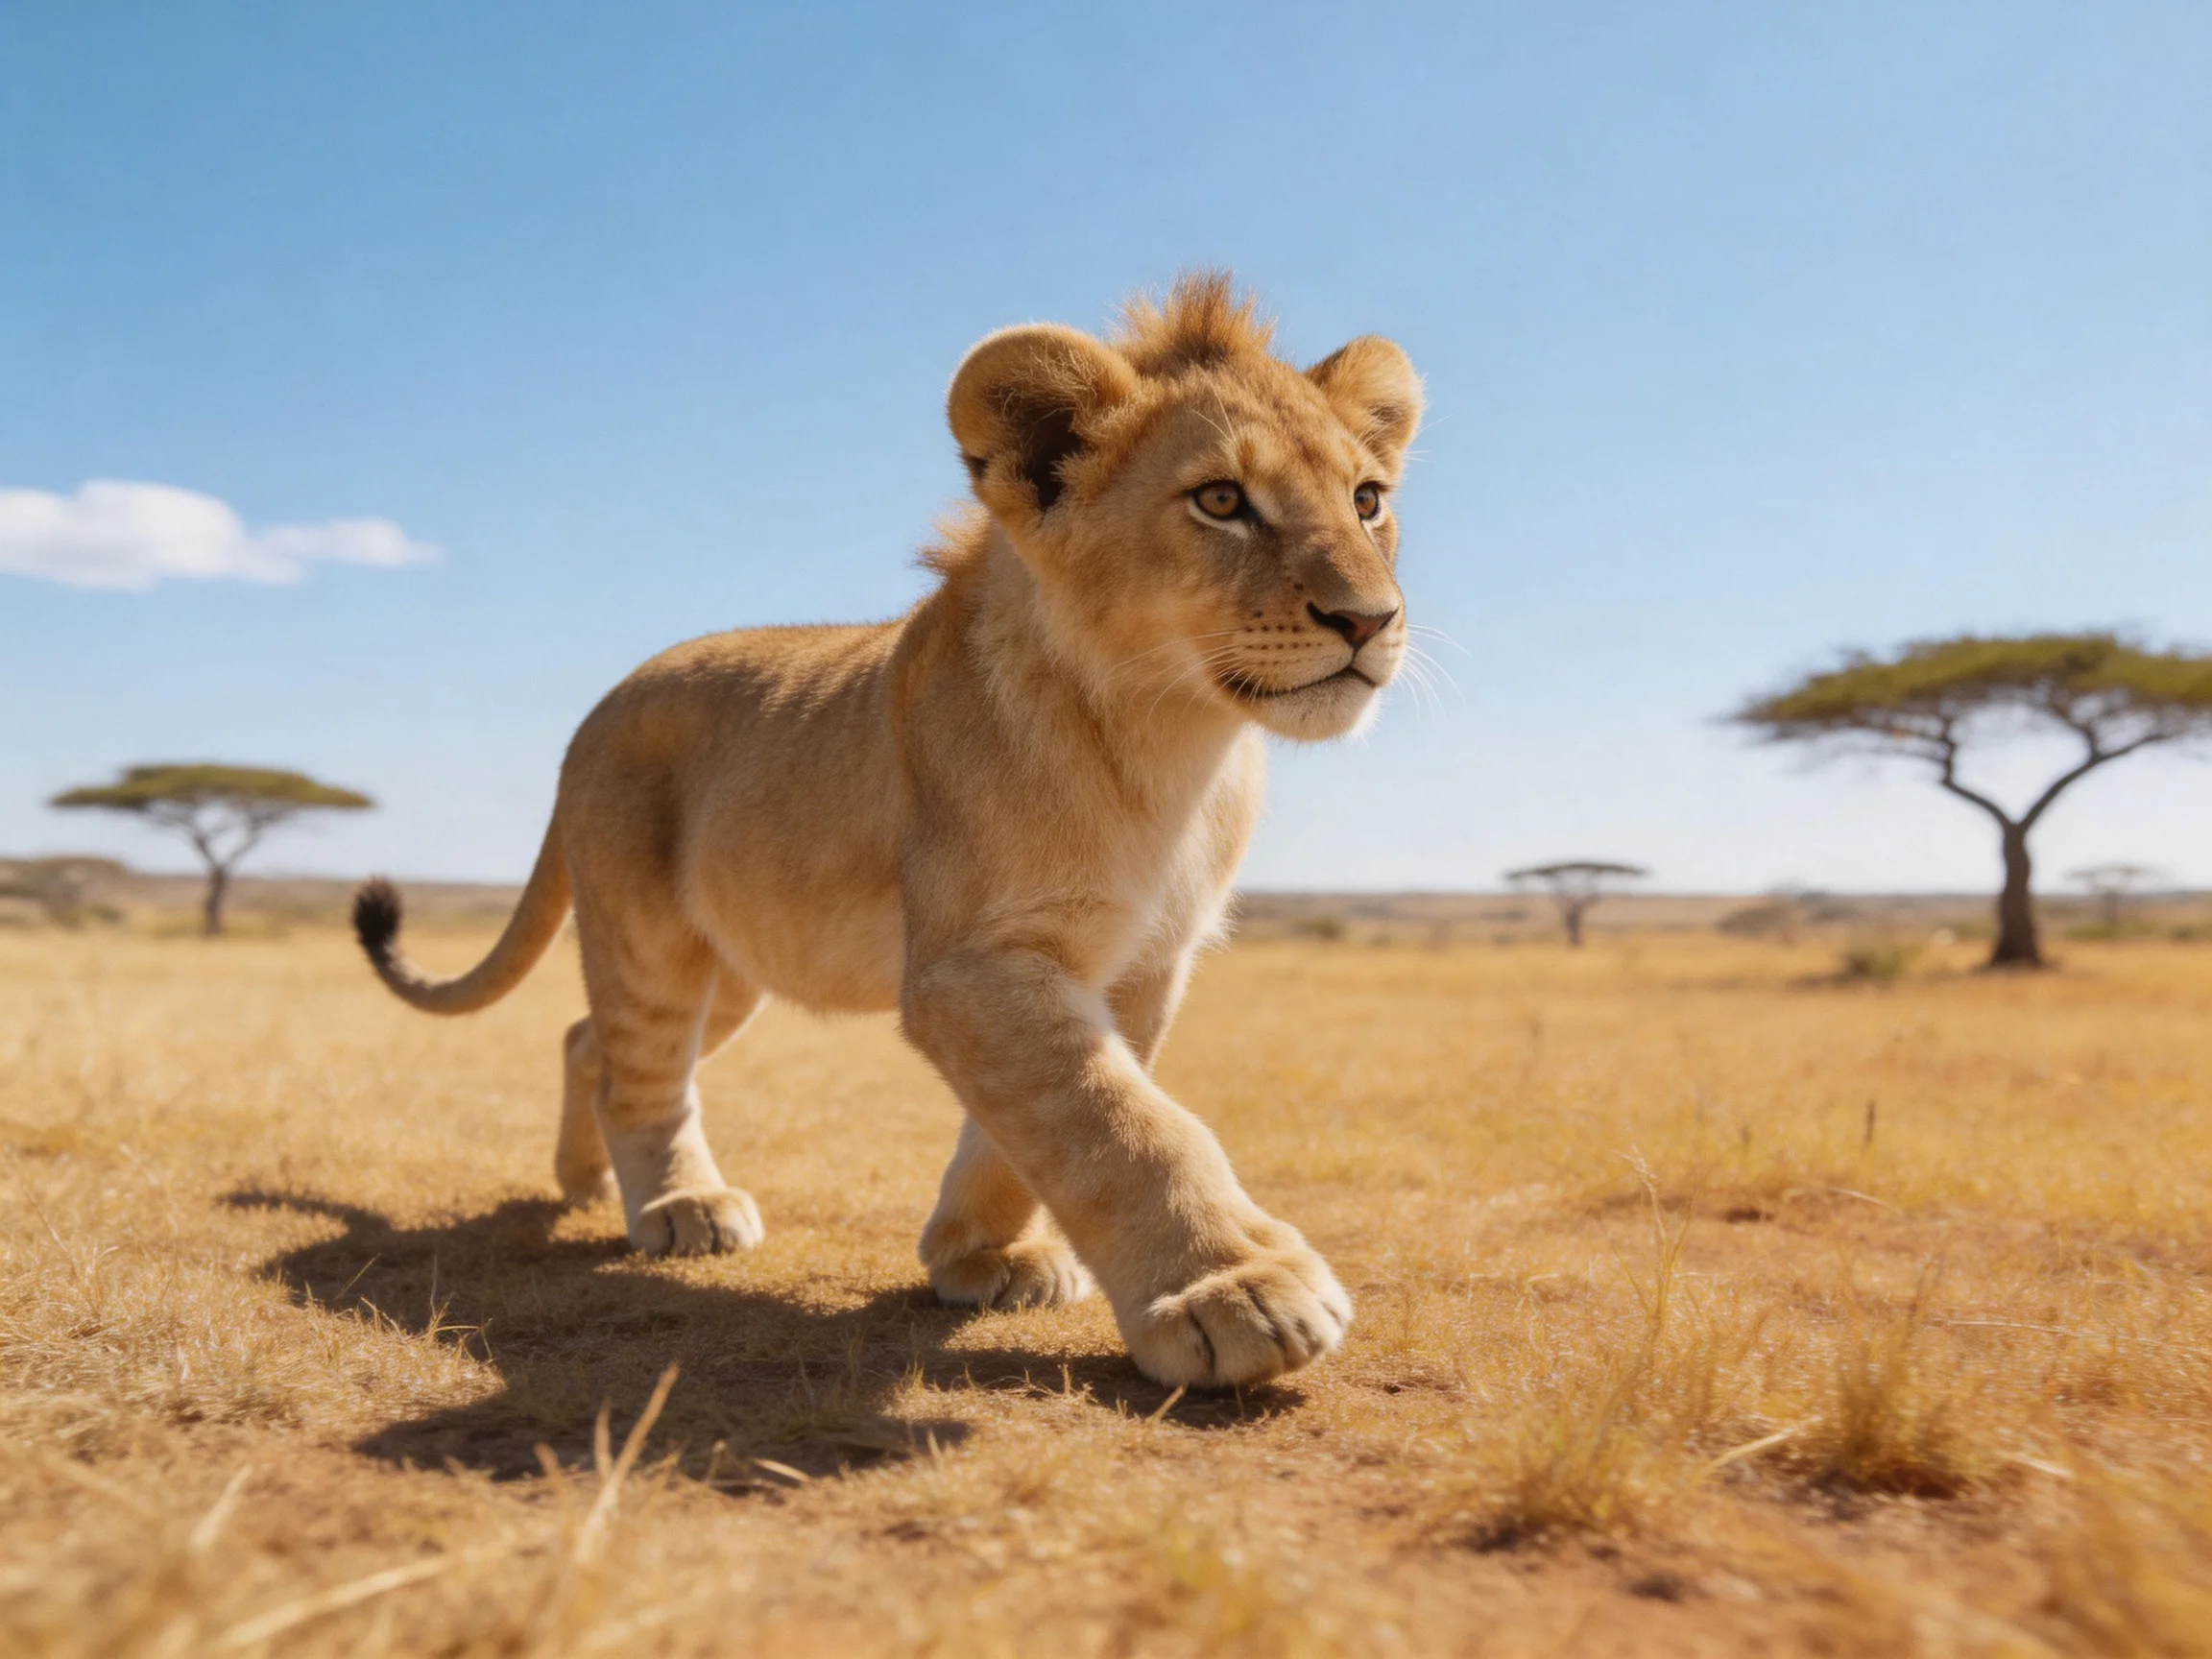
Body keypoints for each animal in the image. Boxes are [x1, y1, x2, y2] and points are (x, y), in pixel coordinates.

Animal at [353, 274, 1421, 1386]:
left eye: (1367, 500)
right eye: (1220, 501)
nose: (1372, 620)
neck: (1175, 740)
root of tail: (602, 705)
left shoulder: (1133, 963)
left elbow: (1037, 1124)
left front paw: (983, 1257)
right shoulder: (973, 964)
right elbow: (1119, 1122)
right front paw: (1236, 1291)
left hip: (739, 967)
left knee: (585, 1041)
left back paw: (588, 1183)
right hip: (652, 943)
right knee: (640, 1067)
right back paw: (679, 1204)